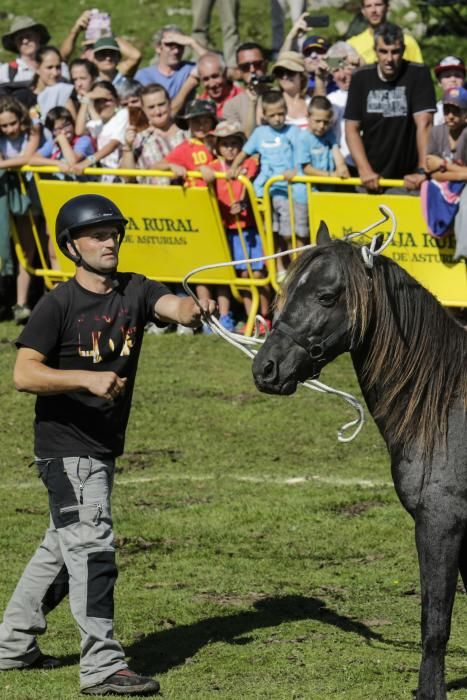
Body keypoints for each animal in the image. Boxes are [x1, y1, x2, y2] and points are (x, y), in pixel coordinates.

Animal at [252, 223, 467, 700]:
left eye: (327, 296)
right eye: (286, 290)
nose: (265, 369)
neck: (447, 406)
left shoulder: (440, 524)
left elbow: (435, 621)